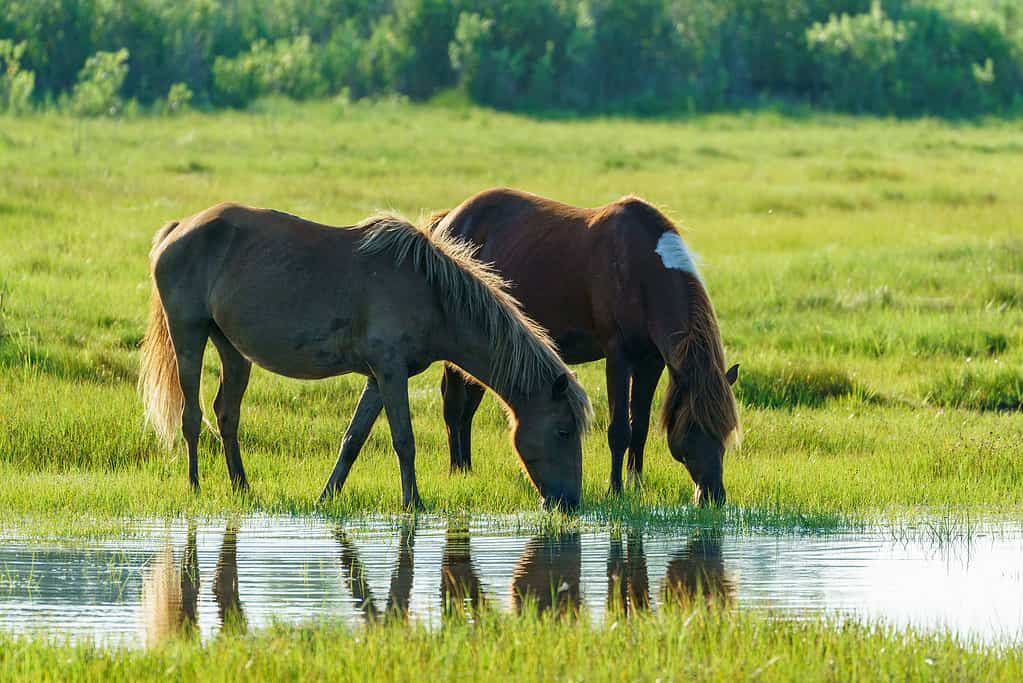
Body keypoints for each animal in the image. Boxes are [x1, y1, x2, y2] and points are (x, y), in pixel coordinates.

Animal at [140, 200, 597, 509]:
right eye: (563, 431)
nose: (568, 503)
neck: (432, 293)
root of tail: (178, 227)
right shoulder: (391, 372)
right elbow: (404, 440)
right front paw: (413, 503)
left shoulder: (378, 378)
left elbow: (353, 439)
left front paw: (327, 496)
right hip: (189, 336)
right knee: (192, 415)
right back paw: (195, 485)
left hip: (232, 350)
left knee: (226, 413)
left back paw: (241, 486)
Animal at [427, 189, 740, 505]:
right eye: (693, 427)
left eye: (725, 430)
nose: (714, 495)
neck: (641, 269)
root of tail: (450, 219)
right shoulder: (618, 356)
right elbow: (619, 430)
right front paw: (615, 489)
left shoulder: (651, 361)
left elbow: (639, 426)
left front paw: (635, 485)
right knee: (454, 407)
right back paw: (458, 470)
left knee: (468, 408)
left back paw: (467, 468)